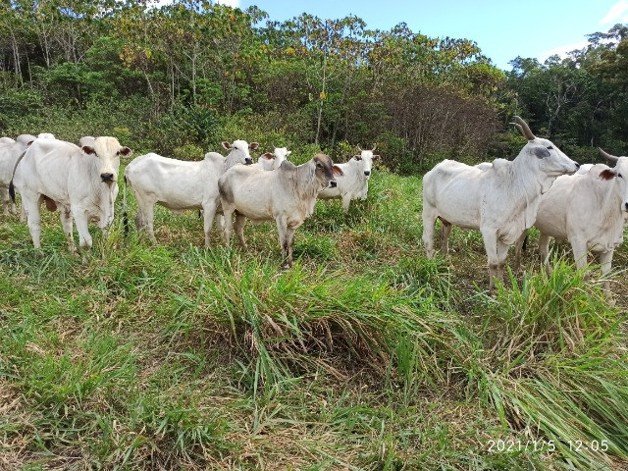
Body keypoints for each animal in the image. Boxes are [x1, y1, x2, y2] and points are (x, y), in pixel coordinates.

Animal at [124, 139, 256, 247]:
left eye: (248, 147)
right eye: (235, 147)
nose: (248, 159)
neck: (222, 170)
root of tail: (131, 165)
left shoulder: (220, 207)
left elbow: (221, 228)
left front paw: (223, 245)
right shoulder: (209, 204)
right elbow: (207, 229)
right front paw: (208, 248)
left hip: (140, 199)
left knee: (138, 220)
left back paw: (140, 242)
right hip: (147, 199)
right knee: (147, 223)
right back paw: (154, 244)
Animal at [422, 116, 580, 290]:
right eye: (549, 147)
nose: (576, 164)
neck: (514, 186)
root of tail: (434, 169)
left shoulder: (508, 233)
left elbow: (502, 262)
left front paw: (502, 286)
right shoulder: (488, 231)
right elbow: (493, 263)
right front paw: (492, 290)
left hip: (447, 220)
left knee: (444, 237)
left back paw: (446, 262)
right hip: (428, 213)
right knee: (428, 240)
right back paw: (431, 266)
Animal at [516, 148, 628, 292]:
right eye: (620, 174)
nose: (627, 204)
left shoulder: (609, 245)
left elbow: (606, 276)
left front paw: (606, 298)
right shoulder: (578, 242)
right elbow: (584, 274)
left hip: (546, 227)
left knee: (543, 249)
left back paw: (549, 274)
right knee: (518, 246)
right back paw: (518, 271)